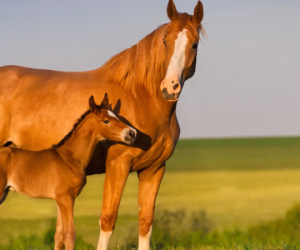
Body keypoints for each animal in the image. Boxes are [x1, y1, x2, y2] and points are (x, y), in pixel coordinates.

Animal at [0, 94, 136, 250]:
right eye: (106, 120)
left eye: (116, 116)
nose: (132, 133)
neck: (70, 158)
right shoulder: (66, 199)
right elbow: (70, 235)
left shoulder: (61, 200)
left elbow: (59, 236)